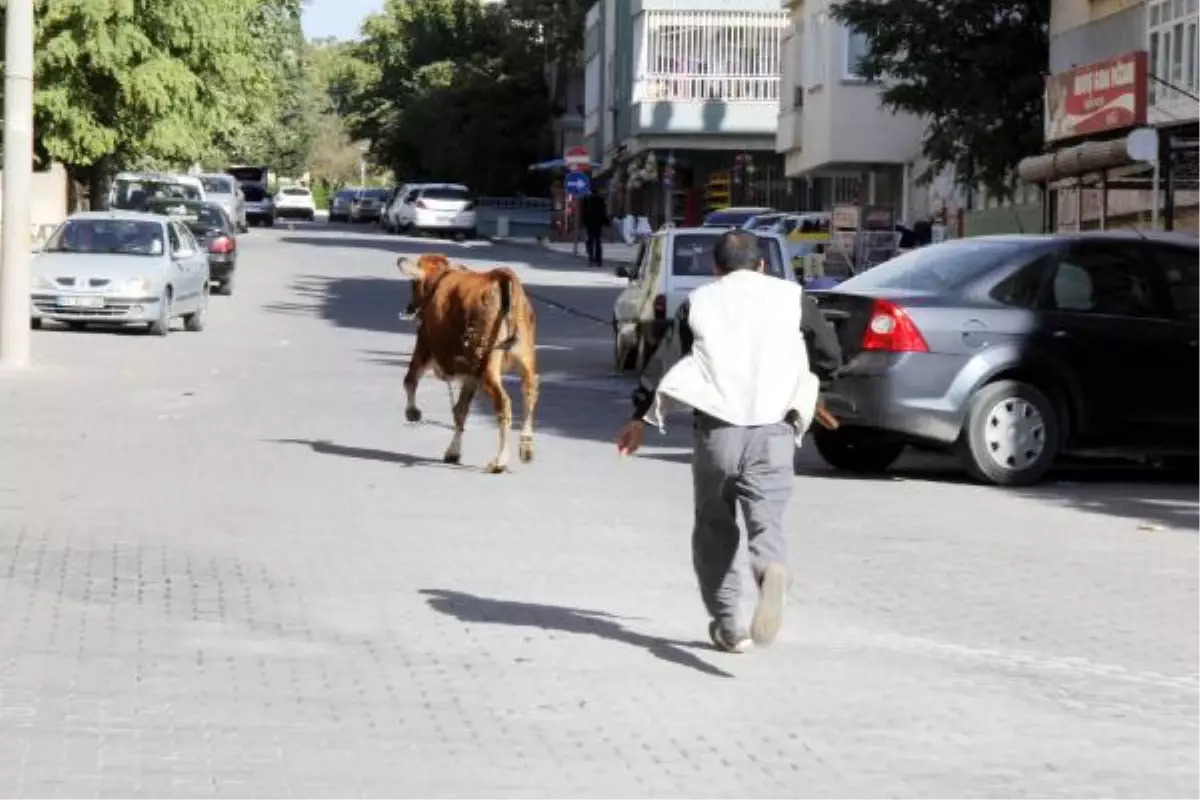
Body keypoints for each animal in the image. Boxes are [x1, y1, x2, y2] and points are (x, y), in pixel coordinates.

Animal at [398, 253, 540, 472]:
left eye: (413, 283)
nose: (409, 307)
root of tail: (503, 277)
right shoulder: (471, 375)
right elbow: (460, 410)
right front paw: (453, 451)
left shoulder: (424, 347)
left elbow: (410, 379)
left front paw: (412, 412)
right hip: (525, 359)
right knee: (530, 393)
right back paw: (526, 448)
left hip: (488, 366)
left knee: (503, 404)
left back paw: (499, 460)